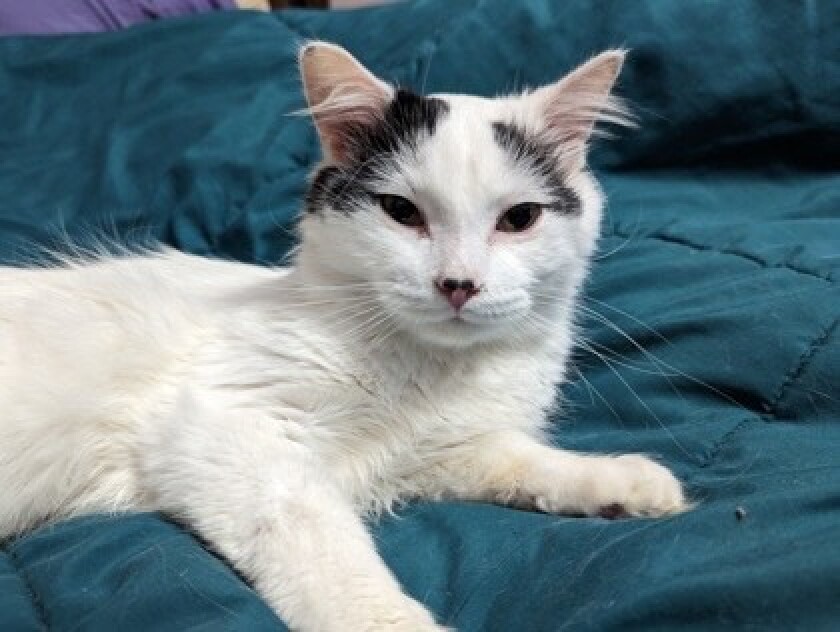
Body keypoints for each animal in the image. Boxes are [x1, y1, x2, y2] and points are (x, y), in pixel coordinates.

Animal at [0, 42, 688, 628]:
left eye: (519, 219)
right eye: (401, 212)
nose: (458, 285)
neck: (429, 371)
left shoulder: (440, 451)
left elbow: (518, 458)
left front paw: (616, 482)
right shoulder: (227, 428)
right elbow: (323, 540)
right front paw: (388, 623)